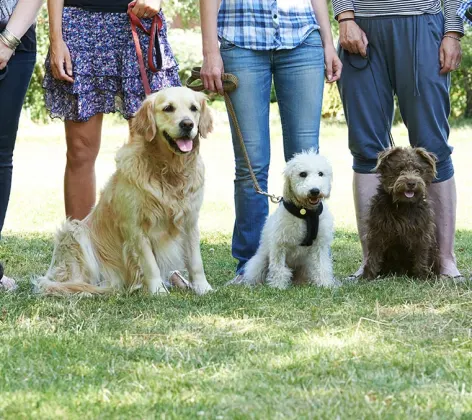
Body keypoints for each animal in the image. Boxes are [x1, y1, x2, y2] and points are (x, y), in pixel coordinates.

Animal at [242, 149, 338, 290]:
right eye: (302, 174)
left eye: (321, 173)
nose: (315, 191)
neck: (306, 213)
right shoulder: (279, 244)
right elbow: (279, 268)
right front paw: (278, 286)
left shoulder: (320, 245)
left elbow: (322, 266)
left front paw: (324, 284)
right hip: (259, 262)